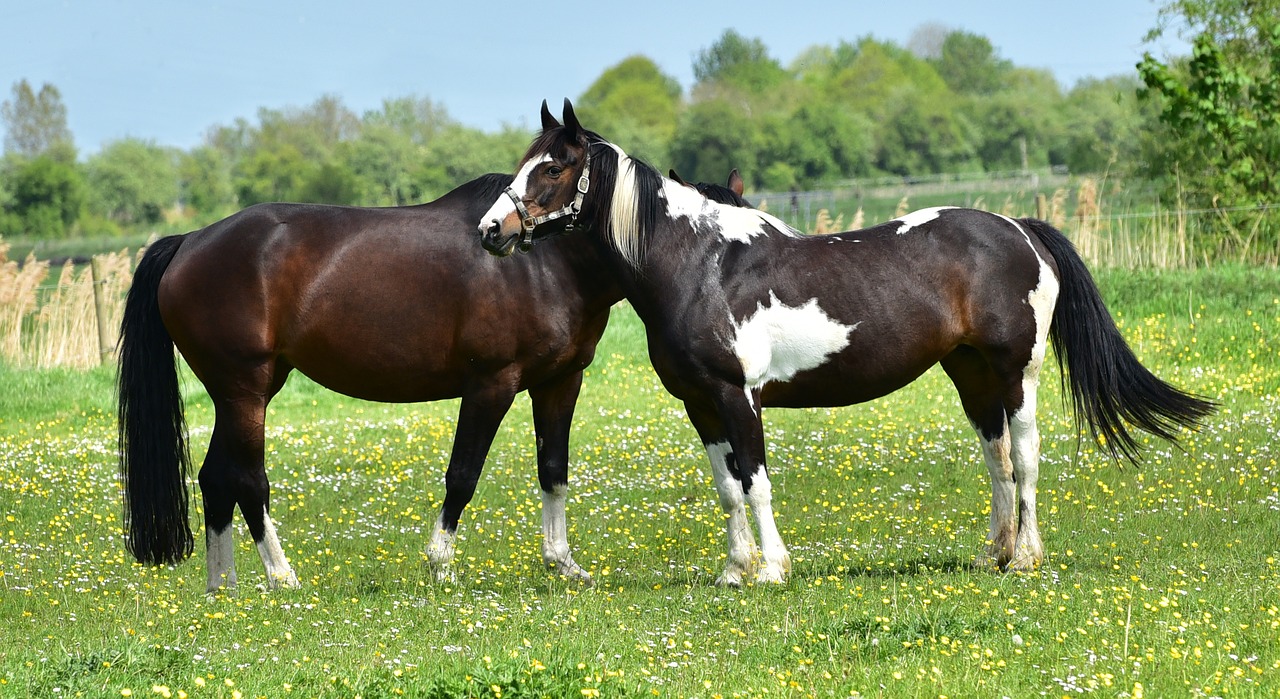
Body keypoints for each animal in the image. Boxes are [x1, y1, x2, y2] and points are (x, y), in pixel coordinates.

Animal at [119, 171, 619, 591]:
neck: (548, 264)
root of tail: (189, 241)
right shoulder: (491, 384)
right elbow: (463, 475)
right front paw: (441, 568)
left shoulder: (560, 382)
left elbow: (553, 470)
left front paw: (566, 564)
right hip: (245, 390)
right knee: (247, 479)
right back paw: (282, 577)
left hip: (241, 393)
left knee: (215, 477)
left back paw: (223, 588)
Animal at [476, 101, 1213, 581]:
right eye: (524, 162)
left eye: (552, 168)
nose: (491, 230)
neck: (701, 264)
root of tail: (1020, 228)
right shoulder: (700, 402)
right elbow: (726, 487)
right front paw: (734, 570)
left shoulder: (739, 396)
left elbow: (757, 482)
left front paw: (772, 569)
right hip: (970, 375)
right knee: (997, 459)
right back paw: (994, 554)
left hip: (1015, 375)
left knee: (1026, 459)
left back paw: (1027, 557)